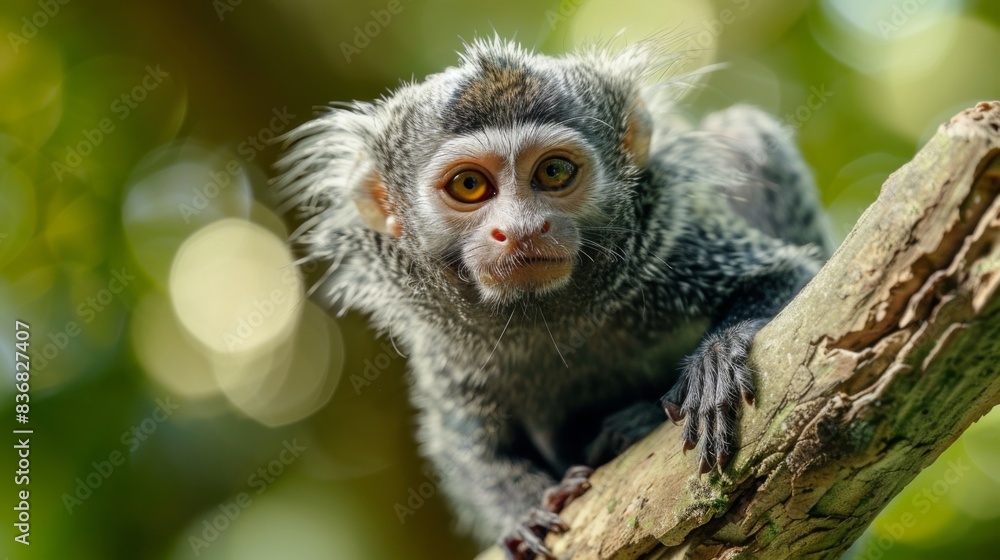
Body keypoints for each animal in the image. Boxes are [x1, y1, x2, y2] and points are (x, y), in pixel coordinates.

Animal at [274, 37, 834, 559]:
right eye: (470, 185)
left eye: (554, 173)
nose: (523, 228)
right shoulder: (450, 356)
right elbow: (464, 444)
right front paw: (520, 514)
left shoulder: (675, 251)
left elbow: (790, 277)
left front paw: (716, 361)